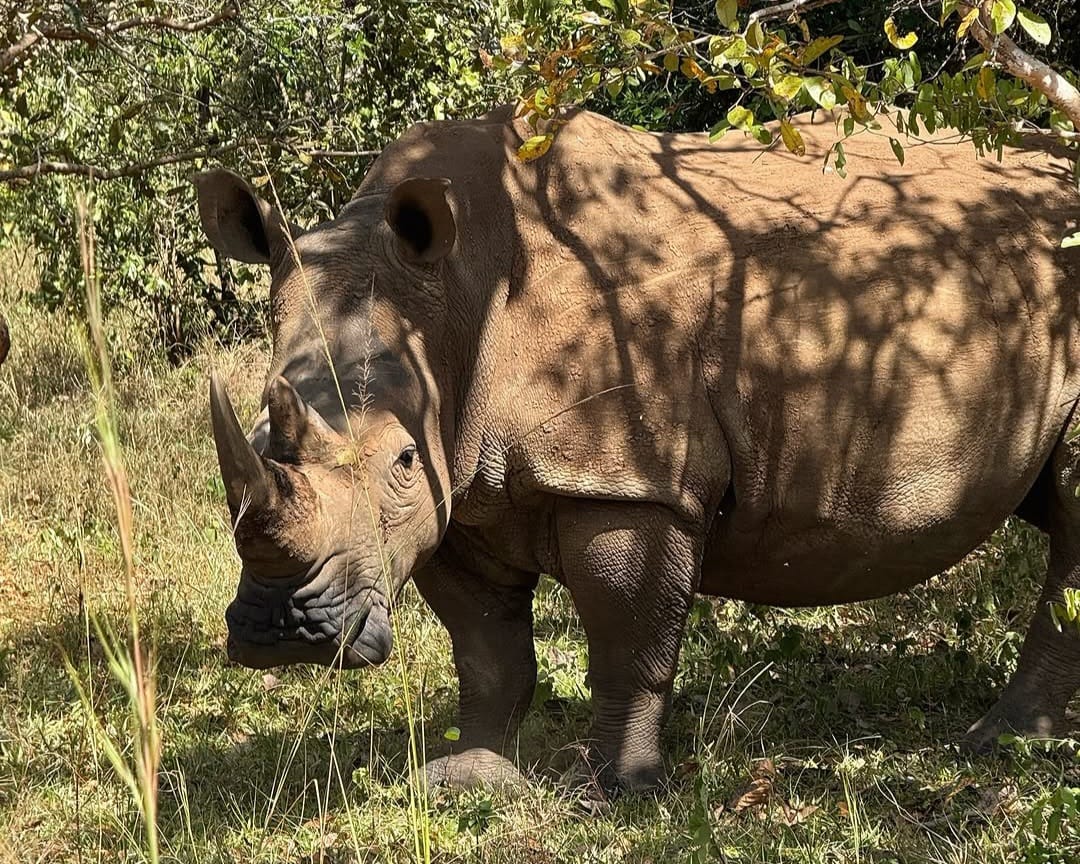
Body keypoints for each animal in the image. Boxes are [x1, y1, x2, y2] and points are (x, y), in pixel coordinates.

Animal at [195, 106, 1080, 793]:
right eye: (261, 433)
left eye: (399, 465)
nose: (284, 630)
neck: (455, 295)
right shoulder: (458, 486)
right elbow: (485, 650)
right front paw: (467, 778)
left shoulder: (627, 475)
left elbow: (629, 637)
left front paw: (618, 789)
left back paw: (1002, 744)